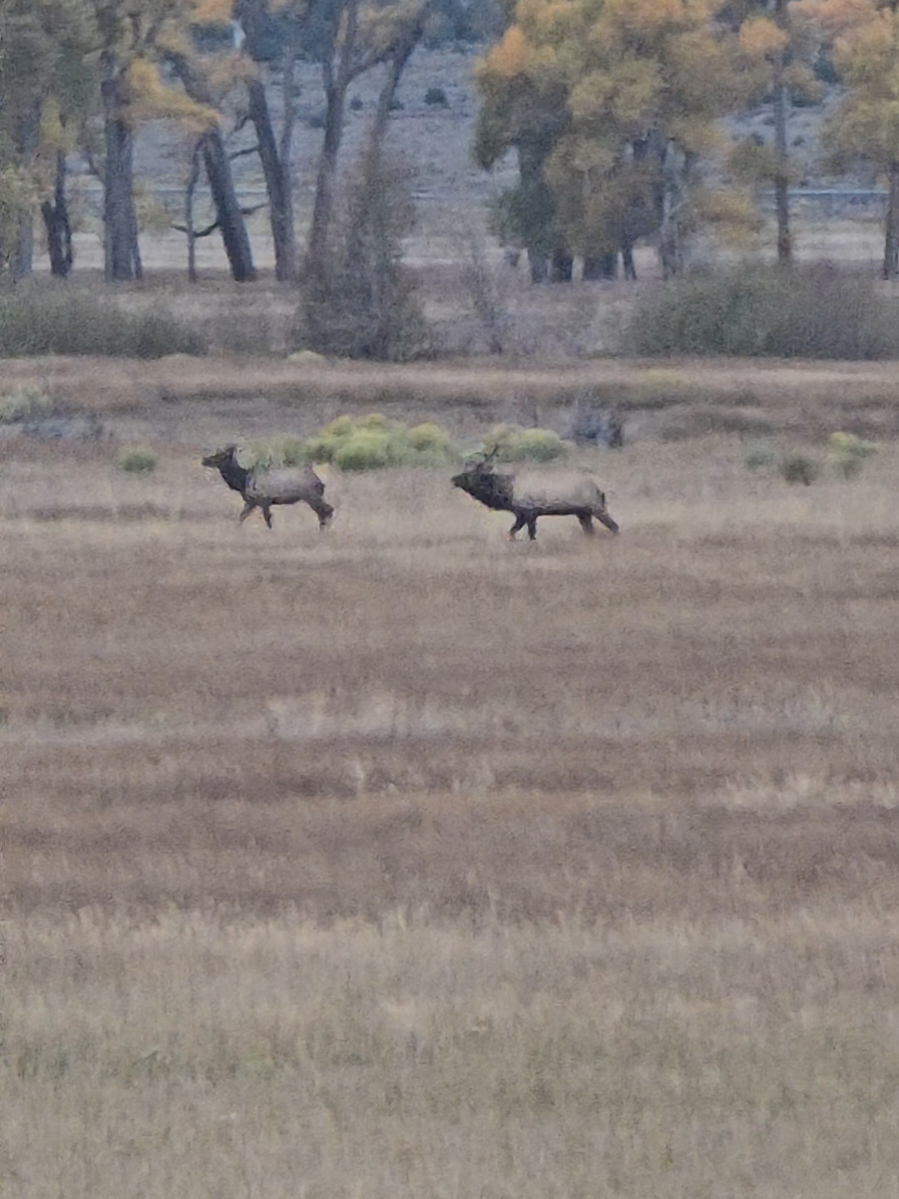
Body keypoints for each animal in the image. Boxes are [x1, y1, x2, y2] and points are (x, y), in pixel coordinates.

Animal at [202, 445, 334, 530]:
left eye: (221, 456)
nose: (204, 460)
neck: (242, 481)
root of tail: (320, 482)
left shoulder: (264, 500)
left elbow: (267, 519)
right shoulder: (251, 502)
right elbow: (241, 517)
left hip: (312, 497)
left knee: (327, 510)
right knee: (325, 512)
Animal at [451, 447, 619, 540]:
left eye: (471, 475)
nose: (453, 479)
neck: (506, 492)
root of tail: (599, 489)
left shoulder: (529, 511)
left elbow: (530, 535)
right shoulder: (521, 513)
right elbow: (512, 532)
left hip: (596, 506)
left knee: (614, 526)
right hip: (583, 512)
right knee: (590, 531)